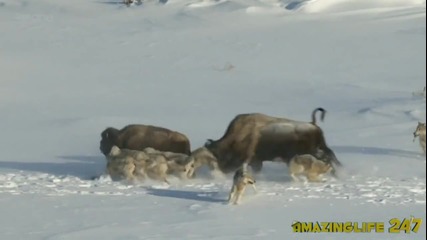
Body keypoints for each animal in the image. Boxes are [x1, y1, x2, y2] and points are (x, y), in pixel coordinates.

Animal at [203, 108, 342, 173]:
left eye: (219, 156)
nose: (222, 170)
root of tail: (313, 124)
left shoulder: (252, 160)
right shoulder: (256, 161)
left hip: (314, 152)